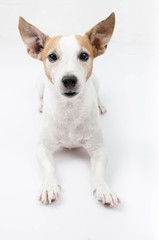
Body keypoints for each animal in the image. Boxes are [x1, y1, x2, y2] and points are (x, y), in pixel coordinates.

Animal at [18, 13, 120, 207]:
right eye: (52, 56)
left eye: (84, 55)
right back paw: (41, 104)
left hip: (96, 80)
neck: (69, 109)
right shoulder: (41, 147)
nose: (69, 80)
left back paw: (100, 105)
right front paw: (49, 186)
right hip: (39, 84)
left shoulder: (99, 149)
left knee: (98, 93)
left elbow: (100, 172)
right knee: (40, 95)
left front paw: (104, 189)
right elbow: (48, 167)